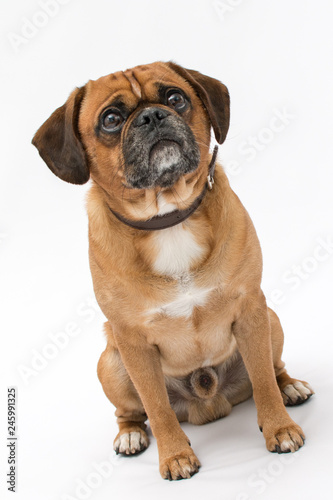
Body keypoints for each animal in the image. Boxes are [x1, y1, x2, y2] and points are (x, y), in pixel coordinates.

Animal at [32, 61, 312, 480]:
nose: (152, 115)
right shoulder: (133, 343)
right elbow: (158, 408)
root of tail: (209, 403)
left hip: (271, 320)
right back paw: (131, 436)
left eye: (175, 98)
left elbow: (263, 381)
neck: (167, 218)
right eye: (111, 119)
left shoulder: (251, 310)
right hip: (111, 364)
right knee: (131, 412)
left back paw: (290, 387)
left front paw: (279, 428)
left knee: (273, 370)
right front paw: (175, 455)